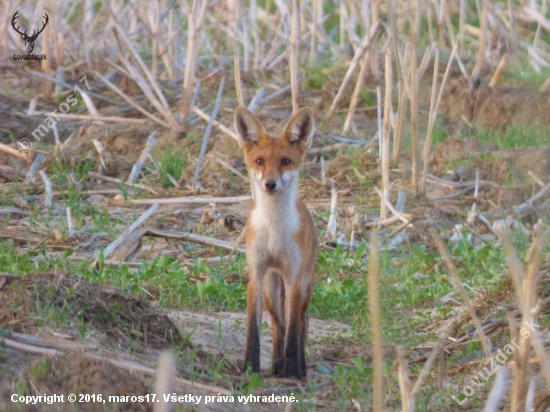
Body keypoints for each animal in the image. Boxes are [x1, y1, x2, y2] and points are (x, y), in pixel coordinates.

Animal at [234, 107, 320, 380]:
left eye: (285, 161)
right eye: (260, 161)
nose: (270, 184)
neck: (273, 230)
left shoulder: (293, 277)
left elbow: (294, 332)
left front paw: (293, 371)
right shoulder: (257, 275)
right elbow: (254, 330)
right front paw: (250, 367)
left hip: (305, 284)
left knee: (299, 324)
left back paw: (298, 366)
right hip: (271, 289)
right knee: (277, 324)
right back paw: (276, 364)